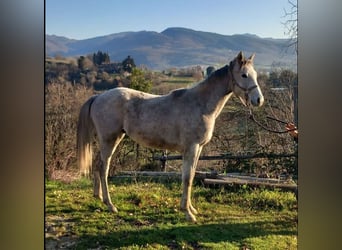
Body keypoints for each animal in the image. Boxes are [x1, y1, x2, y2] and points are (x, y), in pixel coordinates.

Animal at [77, 50, 264, 221]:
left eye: (255, 74)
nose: (259, 100)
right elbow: (187, 178)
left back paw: (98, 197)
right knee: (103, 168)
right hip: (110, 140)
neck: (200, 104)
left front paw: (191, 209)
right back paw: (110, 205)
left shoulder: (198, 149)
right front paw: (188, 214)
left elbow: (192, 176)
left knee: (97, 164)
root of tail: (99, 96)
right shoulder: (191, 148)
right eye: (244, 75)